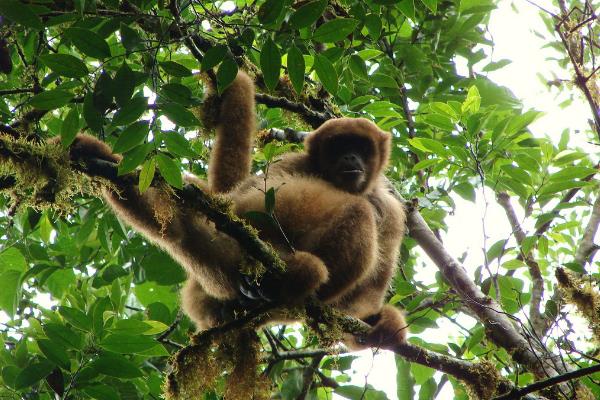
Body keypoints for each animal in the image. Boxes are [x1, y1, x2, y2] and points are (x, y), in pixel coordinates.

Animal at [68, 72, 410, 350]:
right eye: (339, 147)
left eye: (361, 147)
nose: (350, 157)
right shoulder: (294, 162)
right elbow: (240, 201)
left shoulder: (391, 209)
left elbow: (368, 291)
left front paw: (375, 322)